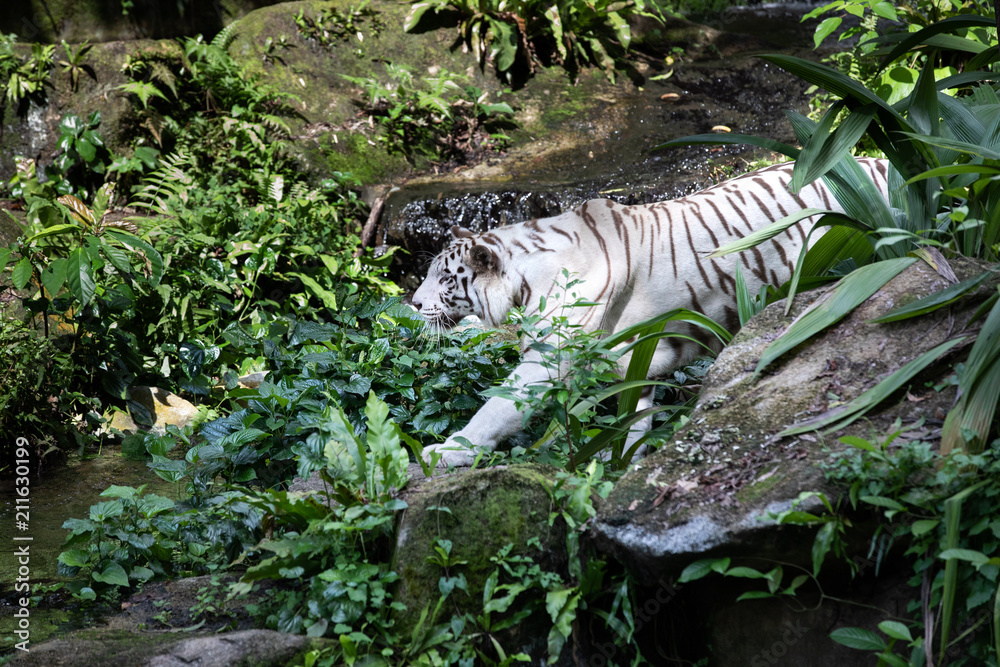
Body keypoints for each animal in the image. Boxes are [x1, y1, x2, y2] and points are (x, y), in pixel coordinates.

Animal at [414, 159, 892, 468]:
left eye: (445, 278)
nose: (414, 304)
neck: (525, 280)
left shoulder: (550, 358)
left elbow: (498, 407)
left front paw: (446, 452)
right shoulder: (636, 356)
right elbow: (634, 416)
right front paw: (622, 463)